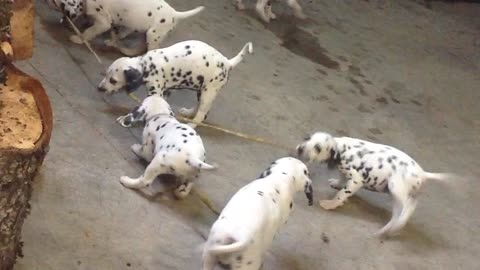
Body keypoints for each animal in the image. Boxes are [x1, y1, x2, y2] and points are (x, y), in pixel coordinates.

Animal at [68, 0, 203, 55]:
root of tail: (174, 13)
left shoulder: (103, 21)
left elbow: (89, 31)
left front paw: (79, 38)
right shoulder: (114, 22)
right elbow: (115, 33)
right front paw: (112, 42)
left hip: (153, 35)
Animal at [296, 132, 454, 237]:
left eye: (318, 147)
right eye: (307, 138)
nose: (300, 149)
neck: (342, 149)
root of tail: (422, 173)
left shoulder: (356, 180)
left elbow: (342, 194)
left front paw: (331, 204)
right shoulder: (346, 174)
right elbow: (342, 180)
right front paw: (337, 183)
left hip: (396, 188)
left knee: (408, 208)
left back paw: (395, 226)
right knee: (400, 212)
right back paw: (388, 229)